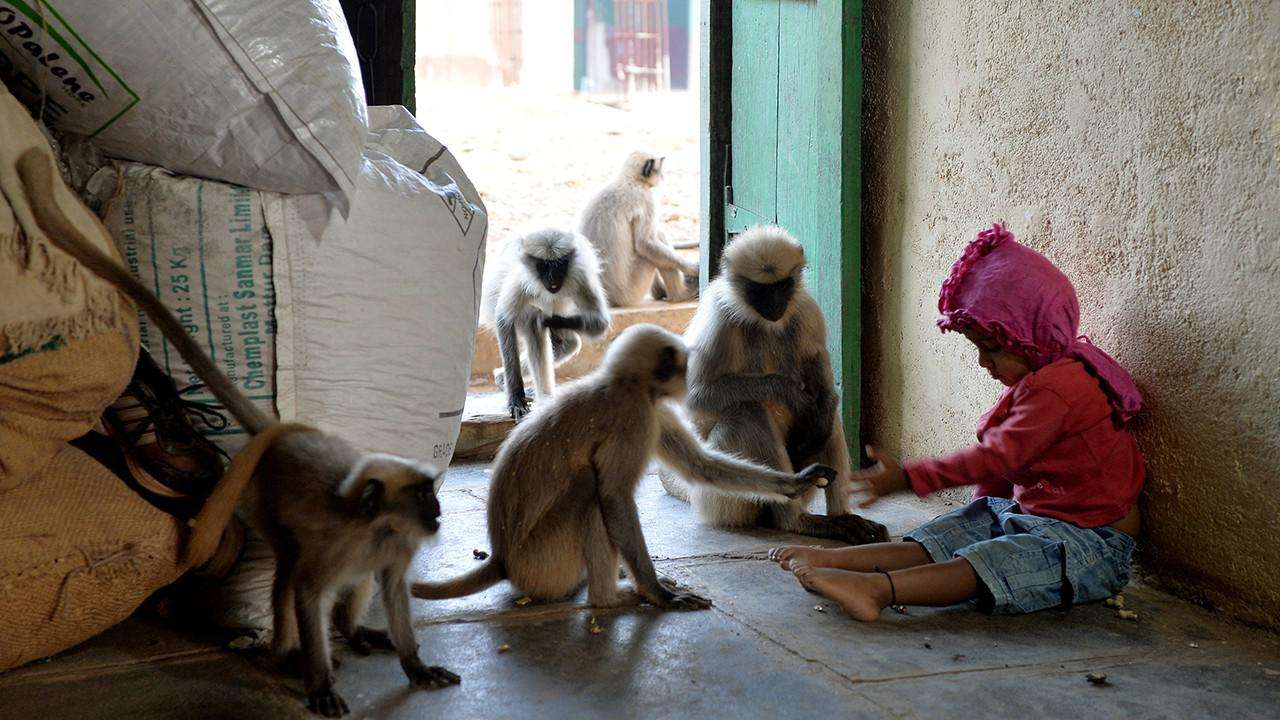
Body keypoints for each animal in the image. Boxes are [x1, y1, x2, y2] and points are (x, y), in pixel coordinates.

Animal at [17, 146, 458, 712]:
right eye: (424, 495)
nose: (437, 512)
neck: (375, 526)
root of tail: (284, 436)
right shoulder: (340, 543)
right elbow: (307, 591)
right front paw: (320, 681)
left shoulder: (394, 546)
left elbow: (394, 590)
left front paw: (414, 665)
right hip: (261, 503)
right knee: (288, 570)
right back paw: (290, 654)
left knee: (348, 583)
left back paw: (351, 631)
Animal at [414, 322, 839, 607]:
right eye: (682, 365)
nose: (688, 377)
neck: (624, 384)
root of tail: (503, 560)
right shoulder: (635, 418)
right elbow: (615, 497)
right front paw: (656, 593)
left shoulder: (653, 409)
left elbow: (701, 466)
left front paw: (797, 483)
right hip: (543, 561)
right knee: (591, 491)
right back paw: (611, 599)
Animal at [483, 226, 614, 417]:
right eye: (543, 266)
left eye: (559, 264)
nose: (552, 277)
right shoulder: (521, 280)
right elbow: (503, 321)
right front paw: (516, 397)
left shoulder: (581, 276)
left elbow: (599, 324)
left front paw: (551, 320)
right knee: (531, 321)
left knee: (567, 344)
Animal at [581, 149, 701, 307]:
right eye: (659, 170)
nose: (662, 177)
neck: (628, 179)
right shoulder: (646, 197)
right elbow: (645, 244)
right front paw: (693, 268)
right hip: (632, 290)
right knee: (654, 243)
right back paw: (680, 295)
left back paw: (660, 293)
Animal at [660, 224, 890, 543]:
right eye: (760, 291)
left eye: (782, 287)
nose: (774, 303)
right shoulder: (718, 316)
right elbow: (695, 399)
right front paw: (789, 392)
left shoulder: (804, 306)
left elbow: (818, 366)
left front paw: (821, 403)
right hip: (717, 498)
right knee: (747, 411)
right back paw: (795, 520)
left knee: (827, 415)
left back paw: (840, 516)